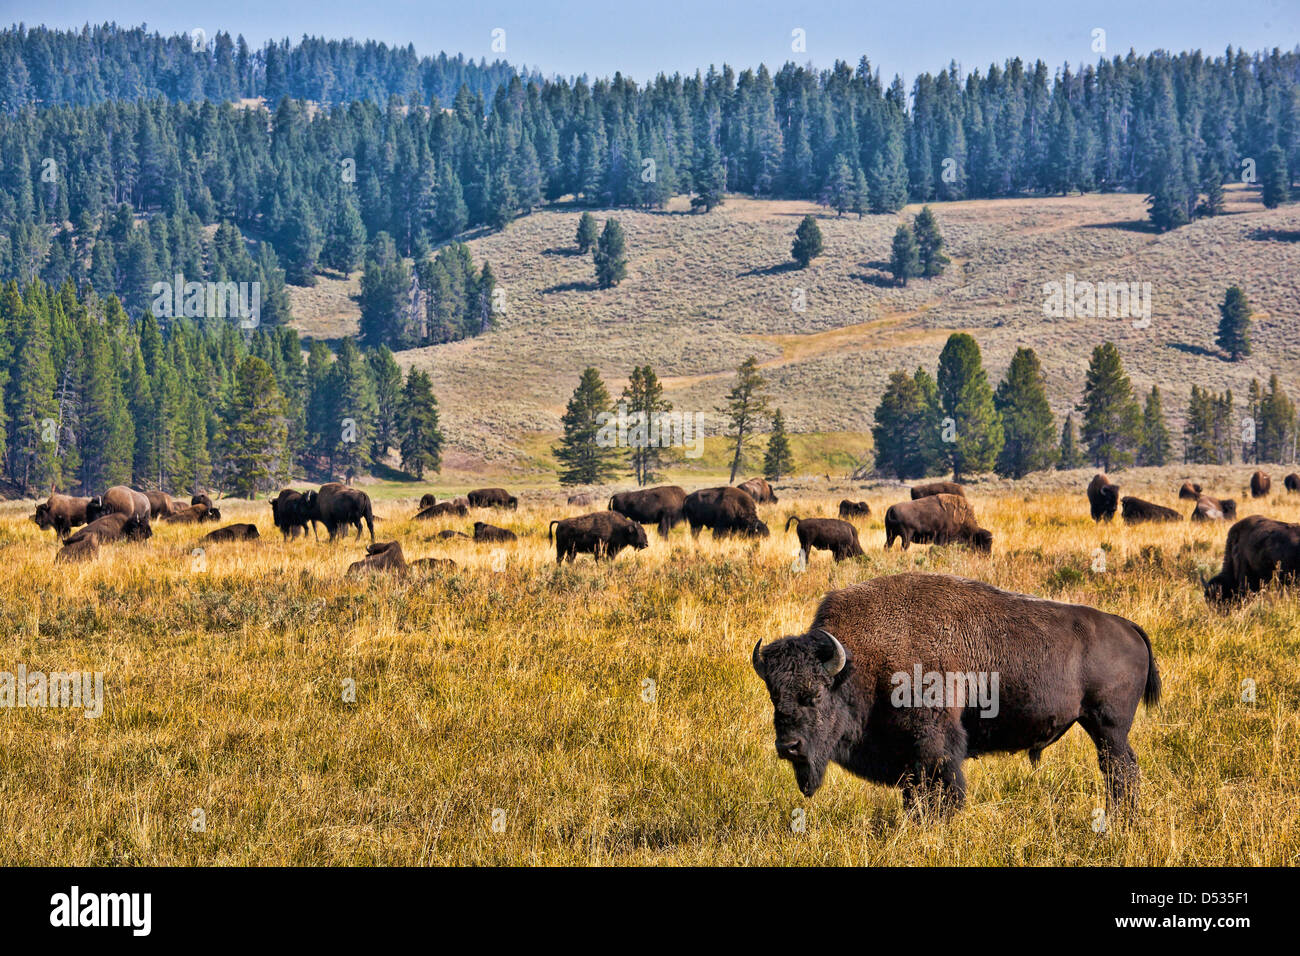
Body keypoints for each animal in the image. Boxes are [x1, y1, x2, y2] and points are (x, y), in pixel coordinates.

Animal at [748, 572, 1164, 816]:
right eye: (774, 697)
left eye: (815, 695)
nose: (788, 746)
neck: (858, 660)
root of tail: (1127, 626)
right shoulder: (909, 756)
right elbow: (914, 791)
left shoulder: (934, 744)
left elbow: (943, 788)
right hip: (1100, 728)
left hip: (1108, 727)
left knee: (1121, 770)